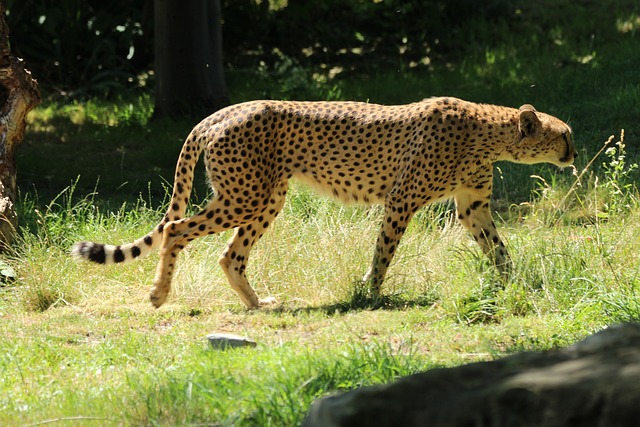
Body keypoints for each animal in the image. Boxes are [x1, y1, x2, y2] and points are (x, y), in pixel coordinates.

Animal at [72, 98, 576, 308]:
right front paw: (371, 291)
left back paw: (257, 303)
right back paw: (159, 294)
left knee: (230, 255)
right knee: (177, 230)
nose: (574, 153)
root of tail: (222, 110)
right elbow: (384, 251)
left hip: (267, 198)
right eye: (565, 135)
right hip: (245, 196)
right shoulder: (401, 200)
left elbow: (499, 249)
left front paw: (516, 284)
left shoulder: (473, 207)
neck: (485, 130)